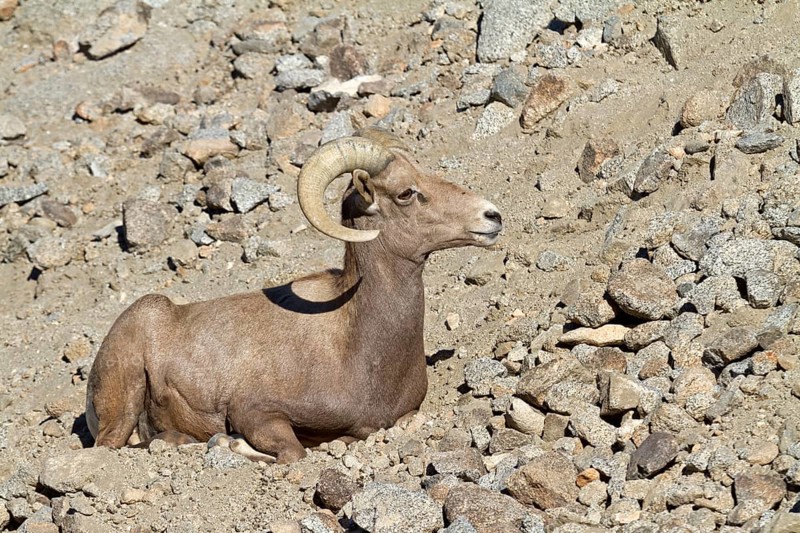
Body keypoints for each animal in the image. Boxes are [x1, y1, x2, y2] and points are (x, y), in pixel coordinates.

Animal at [85, 128, 503, 464]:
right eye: (406, 193)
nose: (492, 216)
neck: (357, 345)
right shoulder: (256, 413)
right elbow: (292, 453)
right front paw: (227, 444)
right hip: (124, 399)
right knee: (113, 445)